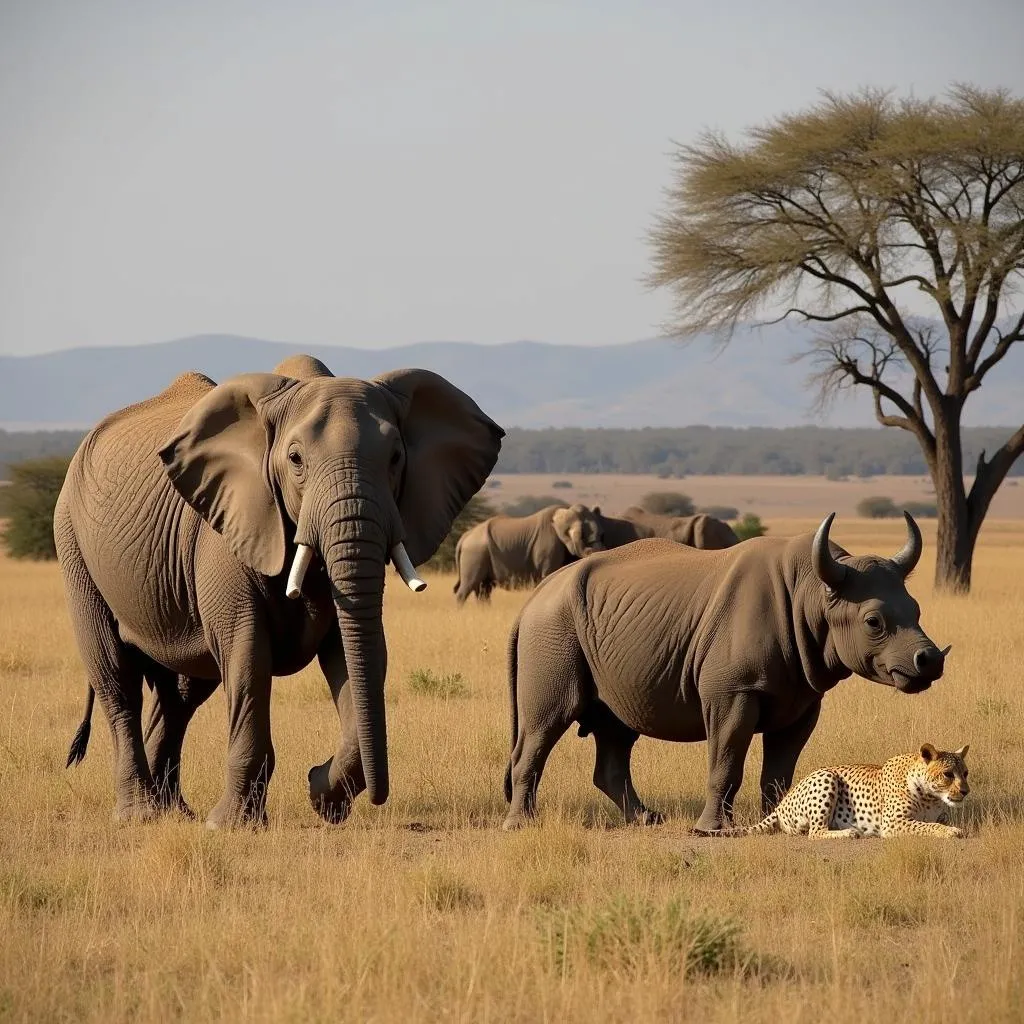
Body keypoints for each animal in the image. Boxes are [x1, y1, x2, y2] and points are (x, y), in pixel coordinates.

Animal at [57, 352, 503, 823]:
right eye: (295, 459)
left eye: (397, 457)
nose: (380, 797)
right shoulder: (229, 532)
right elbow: (247, 651)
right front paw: (231, 825)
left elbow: (355, 654)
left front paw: (322, 796)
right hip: (73, 543)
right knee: (118, 678)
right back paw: (141, 815)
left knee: (180, 693)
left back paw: (176, 814)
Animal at [452, 501, 602, 598]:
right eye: (580, 536)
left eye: (601, 535)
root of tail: (464, 537)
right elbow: (550, 576)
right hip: (474, 550)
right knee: (469, 585)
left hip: (479, 550)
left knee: (484, 588)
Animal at [499, 516, 946, 835]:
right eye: (873, 623)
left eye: (918, 611)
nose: (929, 662)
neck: (816, 593)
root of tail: (531, 600)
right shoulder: (733, 691)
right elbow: (727, 759)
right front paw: (710, 831)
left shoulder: (803, 696)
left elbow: (780, 769)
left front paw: (780, 821)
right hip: (552, 627)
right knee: (545, 724)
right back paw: (521, 826)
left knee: (616, 727)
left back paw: (647, 820)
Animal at [720, 745, 966, 839]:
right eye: (948, 774)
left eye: (965, 773)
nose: (965, 791)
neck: (930, 796)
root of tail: (781, 804)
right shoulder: (892, 823)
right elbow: (927, 826)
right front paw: (952, 831)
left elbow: (936, 821)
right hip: (826, 777)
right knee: (814, 832)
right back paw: (849, 832)